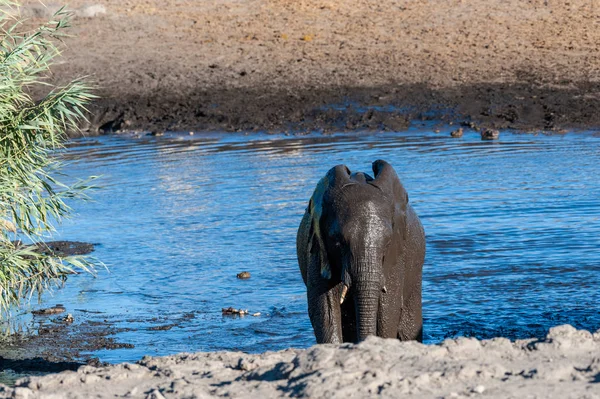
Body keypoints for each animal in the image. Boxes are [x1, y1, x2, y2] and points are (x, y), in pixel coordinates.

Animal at [298, 161, 424, 346]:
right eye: (338, 241)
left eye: (388, 242)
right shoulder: (318, 251)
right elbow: (324, 308)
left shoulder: (395, 256)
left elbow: (388, 308)